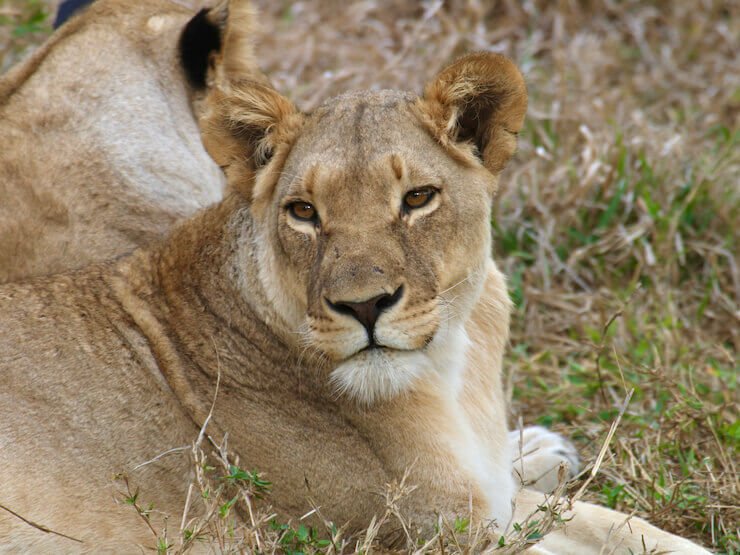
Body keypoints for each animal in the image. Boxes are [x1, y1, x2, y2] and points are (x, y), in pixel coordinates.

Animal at [0, 24, 708, 549]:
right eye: (304, 212)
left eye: (417, 198)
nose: (364, 306)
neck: (450, 369)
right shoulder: (413, 532)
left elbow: (614, 523)